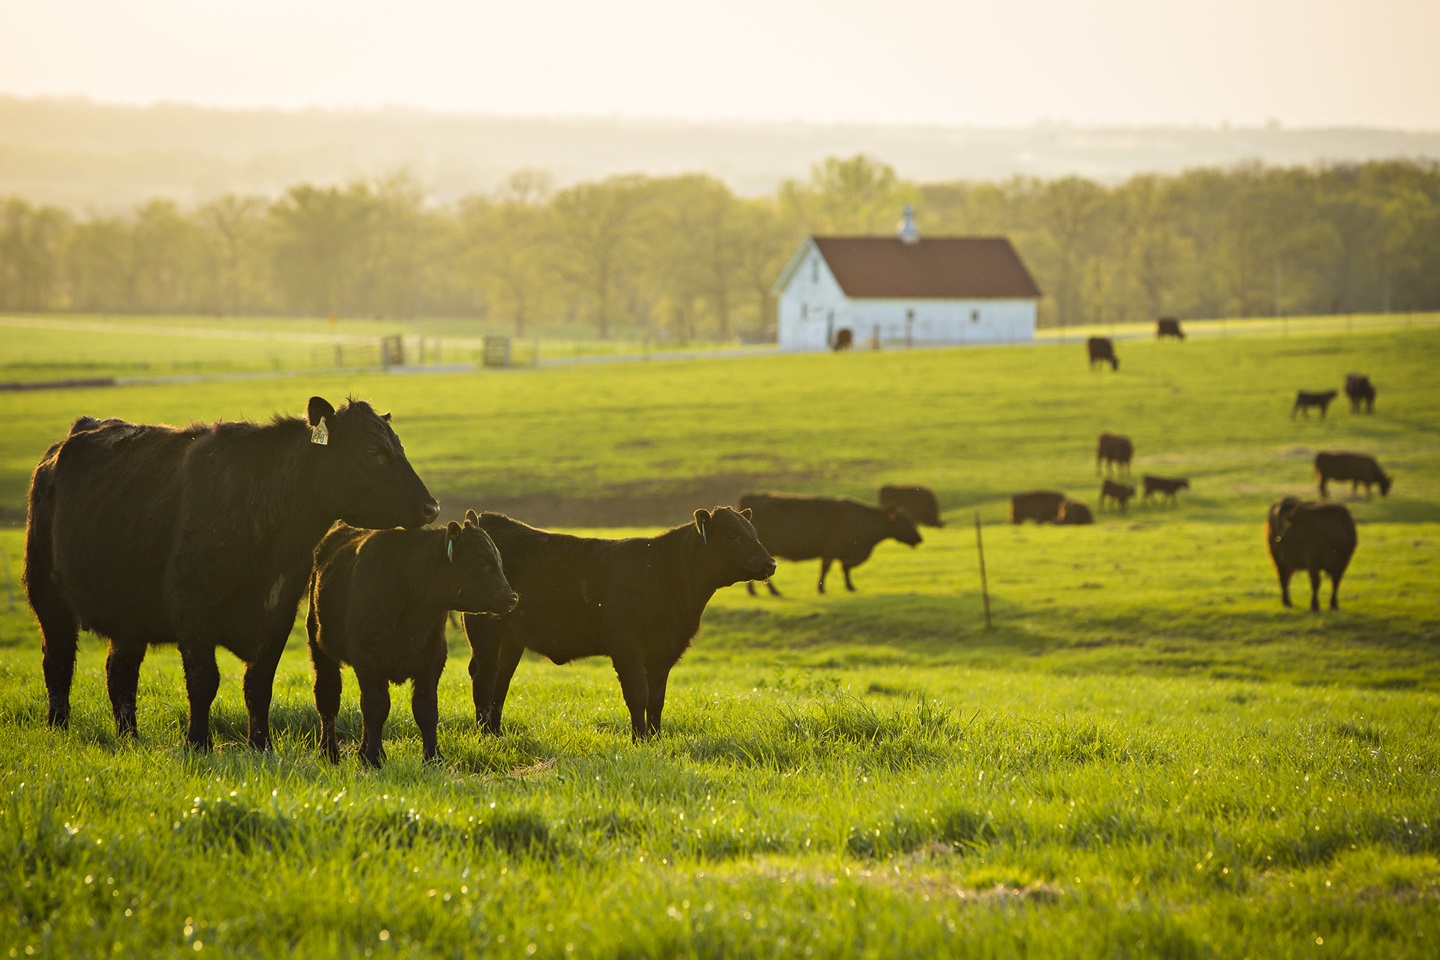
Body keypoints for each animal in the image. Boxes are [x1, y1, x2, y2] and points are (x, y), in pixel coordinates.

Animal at [24, 397, 439, 750]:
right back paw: (58, 728)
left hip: (129, 616)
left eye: (398, 447)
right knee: (57, 660)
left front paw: (261, 745)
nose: (431, 507)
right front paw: (198, 744)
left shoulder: (278, 611)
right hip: (48, 596)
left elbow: (259, 685)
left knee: (119, 673)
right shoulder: (191, 610)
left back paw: (130, 737)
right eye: (372, 452)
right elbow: (203, 681)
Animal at [306, 518, 516, 767]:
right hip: (320, 648)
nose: (511, 598)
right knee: (328, 698)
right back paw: (328, 752)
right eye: (480, 563)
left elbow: (425, 709)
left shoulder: (433, 657)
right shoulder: (367, 656)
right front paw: (374, 757)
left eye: (499, 561)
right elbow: (376, 707)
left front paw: (433, 757)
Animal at [463, 507, 773, 740]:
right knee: (484, 678)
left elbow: (656, 699)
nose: (770, 564)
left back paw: (496, 734)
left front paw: (656, 739)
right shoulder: (627, 647)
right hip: (485, 633)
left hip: (511, 640)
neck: (663, 572)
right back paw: (484, 736)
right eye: (732, 535)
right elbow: (638, 694)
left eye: (754, 533)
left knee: (501, 681)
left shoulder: (664, 651)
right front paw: (640, 740)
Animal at [738, 493, 922, 595]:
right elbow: (827, 568)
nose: (920, 538)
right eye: (906, 522)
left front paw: (850, 586)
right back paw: (772, 592)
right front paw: (822, 589)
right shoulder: (832, 550)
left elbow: (844, 569)